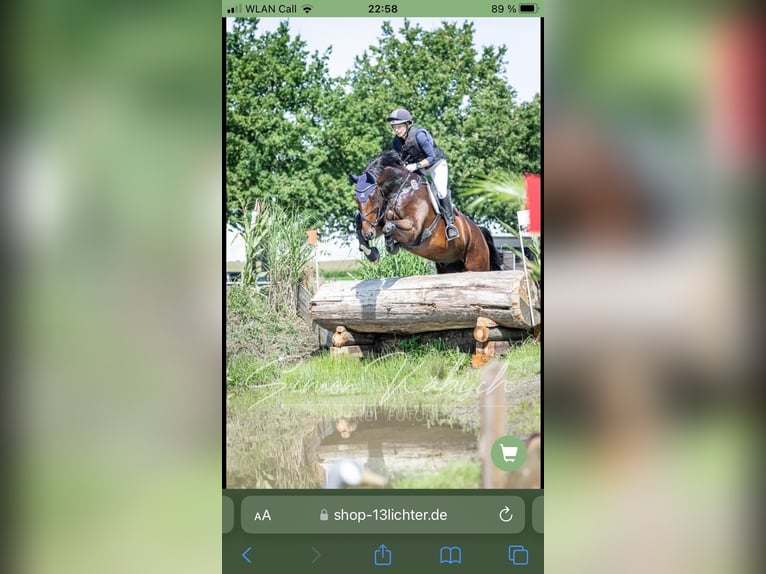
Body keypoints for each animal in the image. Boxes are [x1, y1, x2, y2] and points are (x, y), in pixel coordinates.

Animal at [352, 153, 508, 274]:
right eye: (356, 199)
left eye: (372, 196)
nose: (369, 234)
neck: (400, 190)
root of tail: (478, 231)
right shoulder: (376, 222)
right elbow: (363, 226)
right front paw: (371, 253)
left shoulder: (414, 228)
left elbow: (389, 227)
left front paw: (392, 245)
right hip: (449, 266)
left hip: (477, 263)